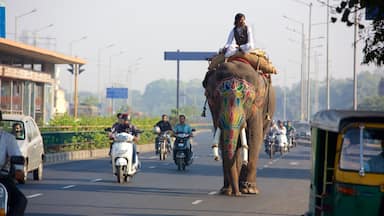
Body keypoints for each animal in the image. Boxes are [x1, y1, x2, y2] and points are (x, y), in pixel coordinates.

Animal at [202, 58, 274, 197]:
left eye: (248, 99)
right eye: (215, 97)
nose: (237, 194)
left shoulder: (257, 106)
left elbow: (254, 137)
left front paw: (249, 190)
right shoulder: (214, 110)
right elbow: (222, 140)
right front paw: (227, 191)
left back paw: (245, 188)